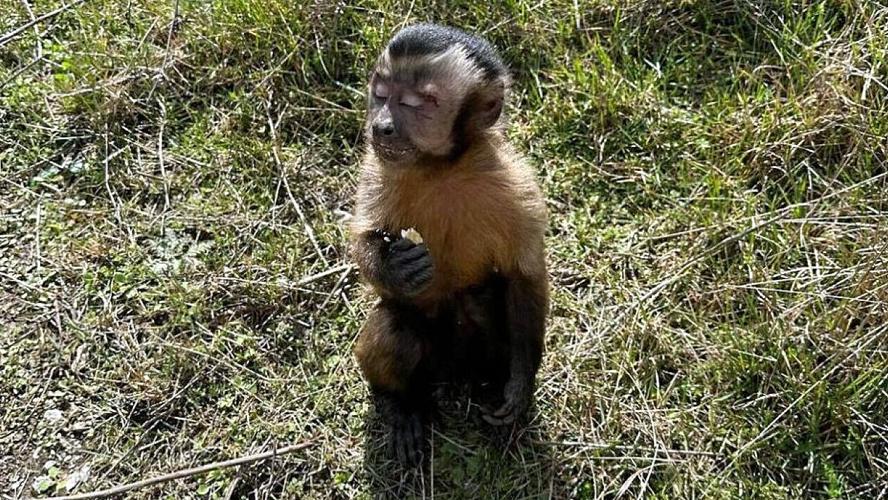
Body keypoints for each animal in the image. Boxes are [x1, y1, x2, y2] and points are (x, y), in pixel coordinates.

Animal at [350, 23, 548, 464]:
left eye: (416, 104)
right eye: (381, 93)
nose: (382, 126)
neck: (441, 167)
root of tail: (449, 374)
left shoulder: (515, 183)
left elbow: (524, 275)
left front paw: (520, 383)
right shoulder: (379, 166)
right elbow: (362, 239)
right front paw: (393, 265)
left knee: (479, 296)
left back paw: (488, 387)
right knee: (393, 328)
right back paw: (402, 404)